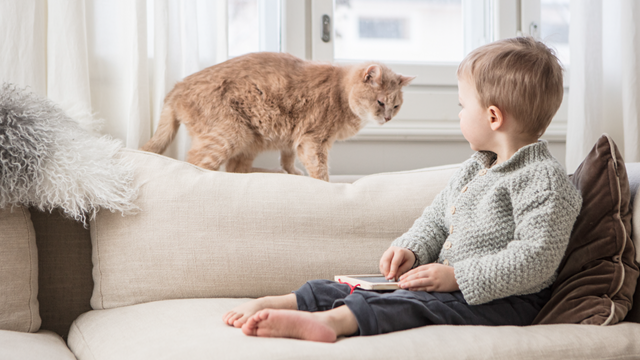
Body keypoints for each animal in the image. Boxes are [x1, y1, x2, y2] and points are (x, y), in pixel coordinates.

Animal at [140, 51, 416, 180]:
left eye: (396, 106)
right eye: (380, 102)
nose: (388, 118)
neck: (340, 94)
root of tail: (176, 88)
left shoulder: (293, 137)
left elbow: (288, 158)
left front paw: (292, 172)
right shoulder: (313, 140)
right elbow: (320, 170)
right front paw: (326, 184)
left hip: (248, 140)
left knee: (235, 170)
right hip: (232, 134)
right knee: (197, 164)